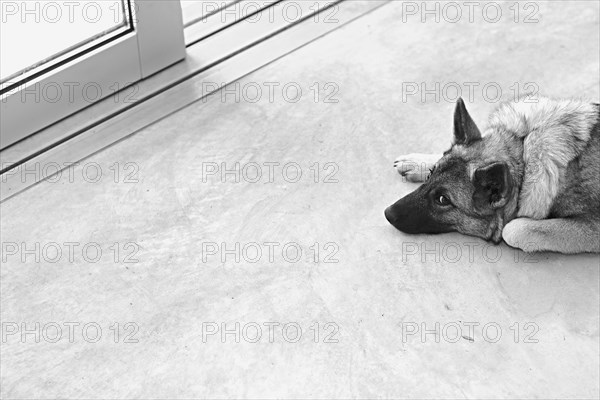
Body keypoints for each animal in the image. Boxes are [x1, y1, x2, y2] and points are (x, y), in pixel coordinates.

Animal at [384, 96, 600, 253]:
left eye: (443, 200)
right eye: (430, 175)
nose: (387, 213)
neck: (523, 158)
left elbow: (511, 230)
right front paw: (416, 162)